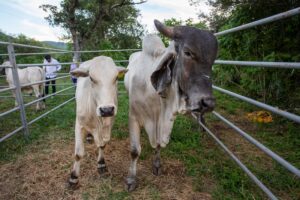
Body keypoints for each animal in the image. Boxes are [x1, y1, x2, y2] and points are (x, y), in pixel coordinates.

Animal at [68, 55, 127, 188]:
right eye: (91, 78)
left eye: (116, 77)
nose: (106, 110)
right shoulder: (79, 125)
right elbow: (78, 154)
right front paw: (73, 177)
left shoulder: (109, 125)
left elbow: (102, 145)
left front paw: (101, 164)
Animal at [124, 19, 218, 191]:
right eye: (187, 53)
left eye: (213, 60)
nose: (208, 103)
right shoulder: (133, 116)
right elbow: (134, 151)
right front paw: (131, 179)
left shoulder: (165, 121)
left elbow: (158, 144)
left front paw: (157, 165)